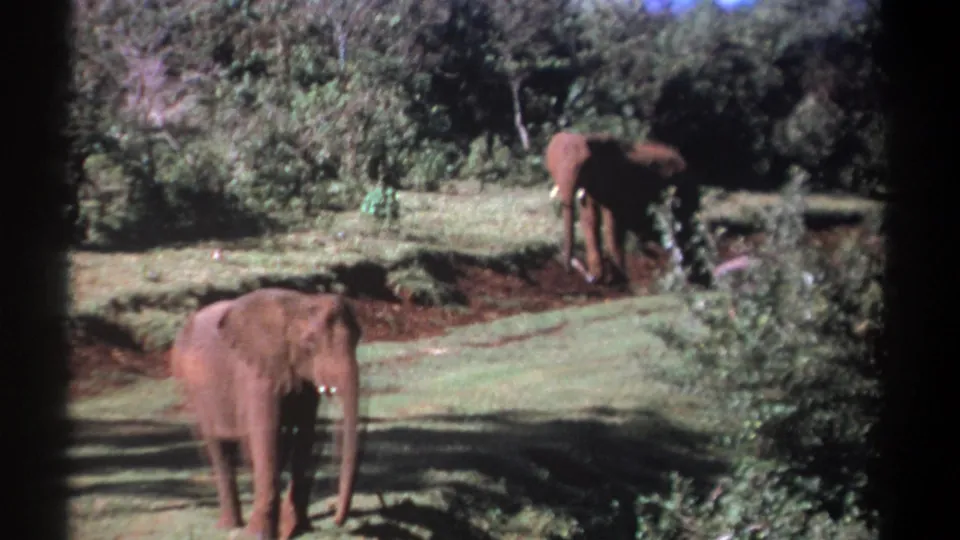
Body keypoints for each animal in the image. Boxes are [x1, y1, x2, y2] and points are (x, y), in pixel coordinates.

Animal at [170, 287, 362, 539]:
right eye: (309, 343)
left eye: (359, 338)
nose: (337, 520)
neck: (299, 302)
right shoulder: (256, 373)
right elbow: (265, 438)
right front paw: (260, 535)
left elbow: (305, 435)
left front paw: (298, 528)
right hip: (191, 390)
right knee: (218, 450)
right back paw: (229, 527)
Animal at [545, 131, 694, 285]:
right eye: (552, 167)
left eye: (583, 167)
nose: (570, 270)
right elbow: (590, 220)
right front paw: (601, 277)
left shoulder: (615, 182)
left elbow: (612, 224)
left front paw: (617, 279)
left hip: (681, 188)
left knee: (682, 227)